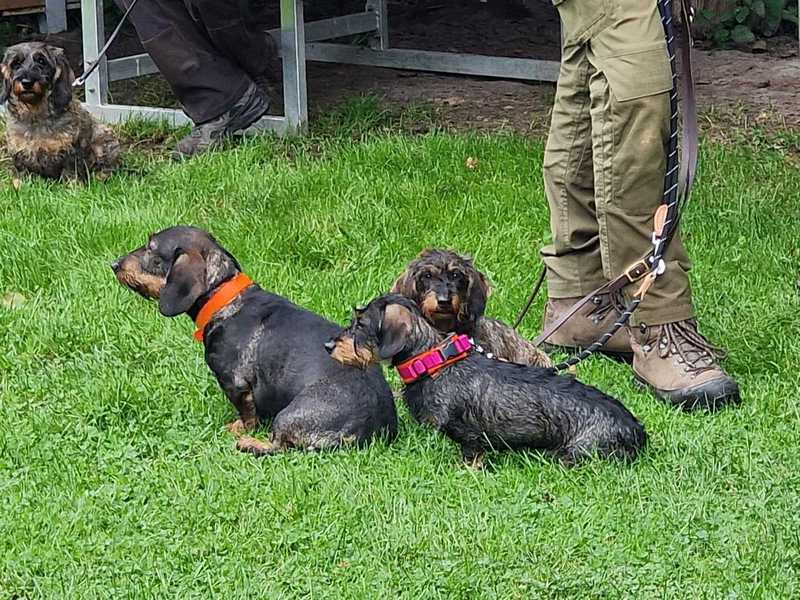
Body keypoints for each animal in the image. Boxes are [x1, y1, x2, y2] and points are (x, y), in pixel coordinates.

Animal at [1, 42, 120, 180]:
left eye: (41, 61)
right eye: (16, 63)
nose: (27, 82)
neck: (36, 114)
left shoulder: (69, 153)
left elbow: (71, 174)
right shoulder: (19, 154)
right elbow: (20, 176)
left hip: (103, 139)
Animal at [112, 226, 398, 455]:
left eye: (150, 249)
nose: (114, 264)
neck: (225, 299)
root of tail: (369, 429)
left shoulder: (235, 383)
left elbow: (247, 413)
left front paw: (238, 428)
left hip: (287, 415)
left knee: (279, 447)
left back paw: (249, 443)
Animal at [326, 294, 646, 466]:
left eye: (361, 324)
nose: (329, 345)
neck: (432, 362)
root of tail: (638, 432)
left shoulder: (460, 435)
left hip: (575, 452)